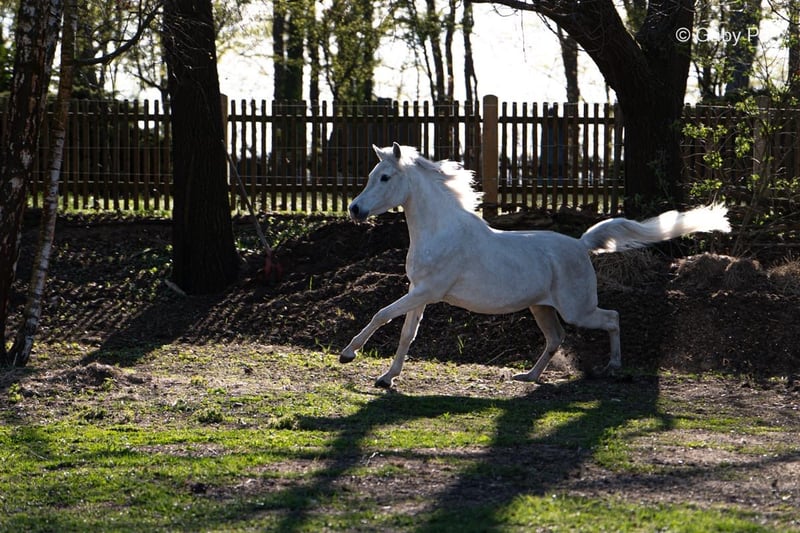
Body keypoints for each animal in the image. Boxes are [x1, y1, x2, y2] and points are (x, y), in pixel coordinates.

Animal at [340, 143, 731, 388]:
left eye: (385, 178)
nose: (354, 210)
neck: (441, 231)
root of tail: (581, 245)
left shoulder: (427, 291)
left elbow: (381, 315)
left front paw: (348, 354)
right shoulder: (417, 291)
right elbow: (406, 333)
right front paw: (386, 379)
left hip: (577, 309)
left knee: (612, 318)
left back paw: (613, 367)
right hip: (541, 307)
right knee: (556, 337)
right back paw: (528, 377)